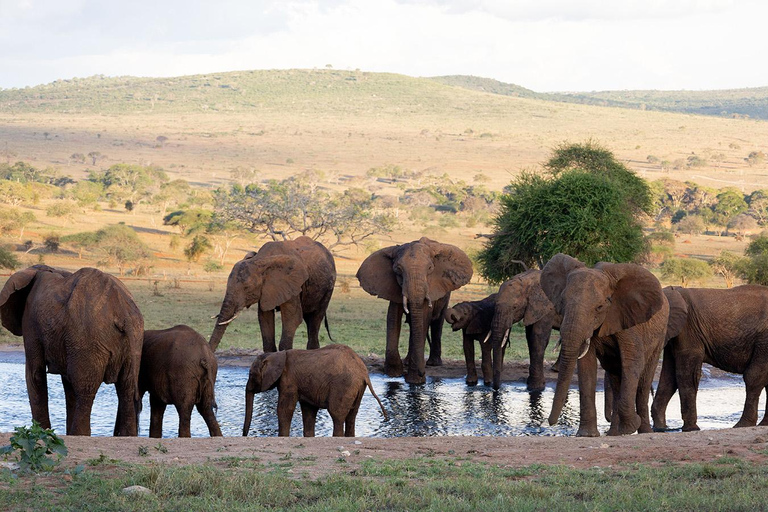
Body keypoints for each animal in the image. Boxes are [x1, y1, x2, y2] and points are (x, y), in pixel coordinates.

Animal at [0, 264, 143, 436]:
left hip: (87, 340)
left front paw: (40, 432)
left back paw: (79, 434)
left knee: (84, 389)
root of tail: (124, 313)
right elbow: (67, 382)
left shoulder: (31, 322)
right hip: (132, 342)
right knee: (126, 388)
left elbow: (35, 374)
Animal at [243, 344, 388, 436]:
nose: (244, 435)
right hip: (357, 387)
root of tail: (363, 372)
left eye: (251, 374)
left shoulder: (289, 381)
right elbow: (309, 411)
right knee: (351, 417)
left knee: (337, 415)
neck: (276, 355)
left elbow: (284, 410)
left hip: (343, 386)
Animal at [356, 237, 474, 384]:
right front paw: (394, 374)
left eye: (430, 268)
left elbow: (424, 318)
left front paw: (415, 381)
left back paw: (433, 363)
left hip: (446, 293)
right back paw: (408, 362)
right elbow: (393, 316)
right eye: (398, 269)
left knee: (437, 322)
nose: (421, 373)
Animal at [536, 255, 668, 436]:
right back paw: (615, 433)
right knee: (616, 377)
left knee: (643, 380)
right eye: (562, 302)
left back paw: (644, 431)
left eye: (599, 307)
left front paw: (632, 425)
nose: (550, 423)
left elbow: (633, 362)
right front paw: (587, 435)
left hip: (659, 336)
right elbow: (586, 366)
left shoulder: (629, 320)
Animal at [652, 284, 768, 432]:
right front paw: (661, 428)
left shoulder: (688, 328)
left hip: (764, 340)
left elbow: (686, 375)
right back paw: (763, 424)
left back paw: (742, 425)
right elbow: (669, 377)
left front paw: (691, 429)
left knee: (753, 376)